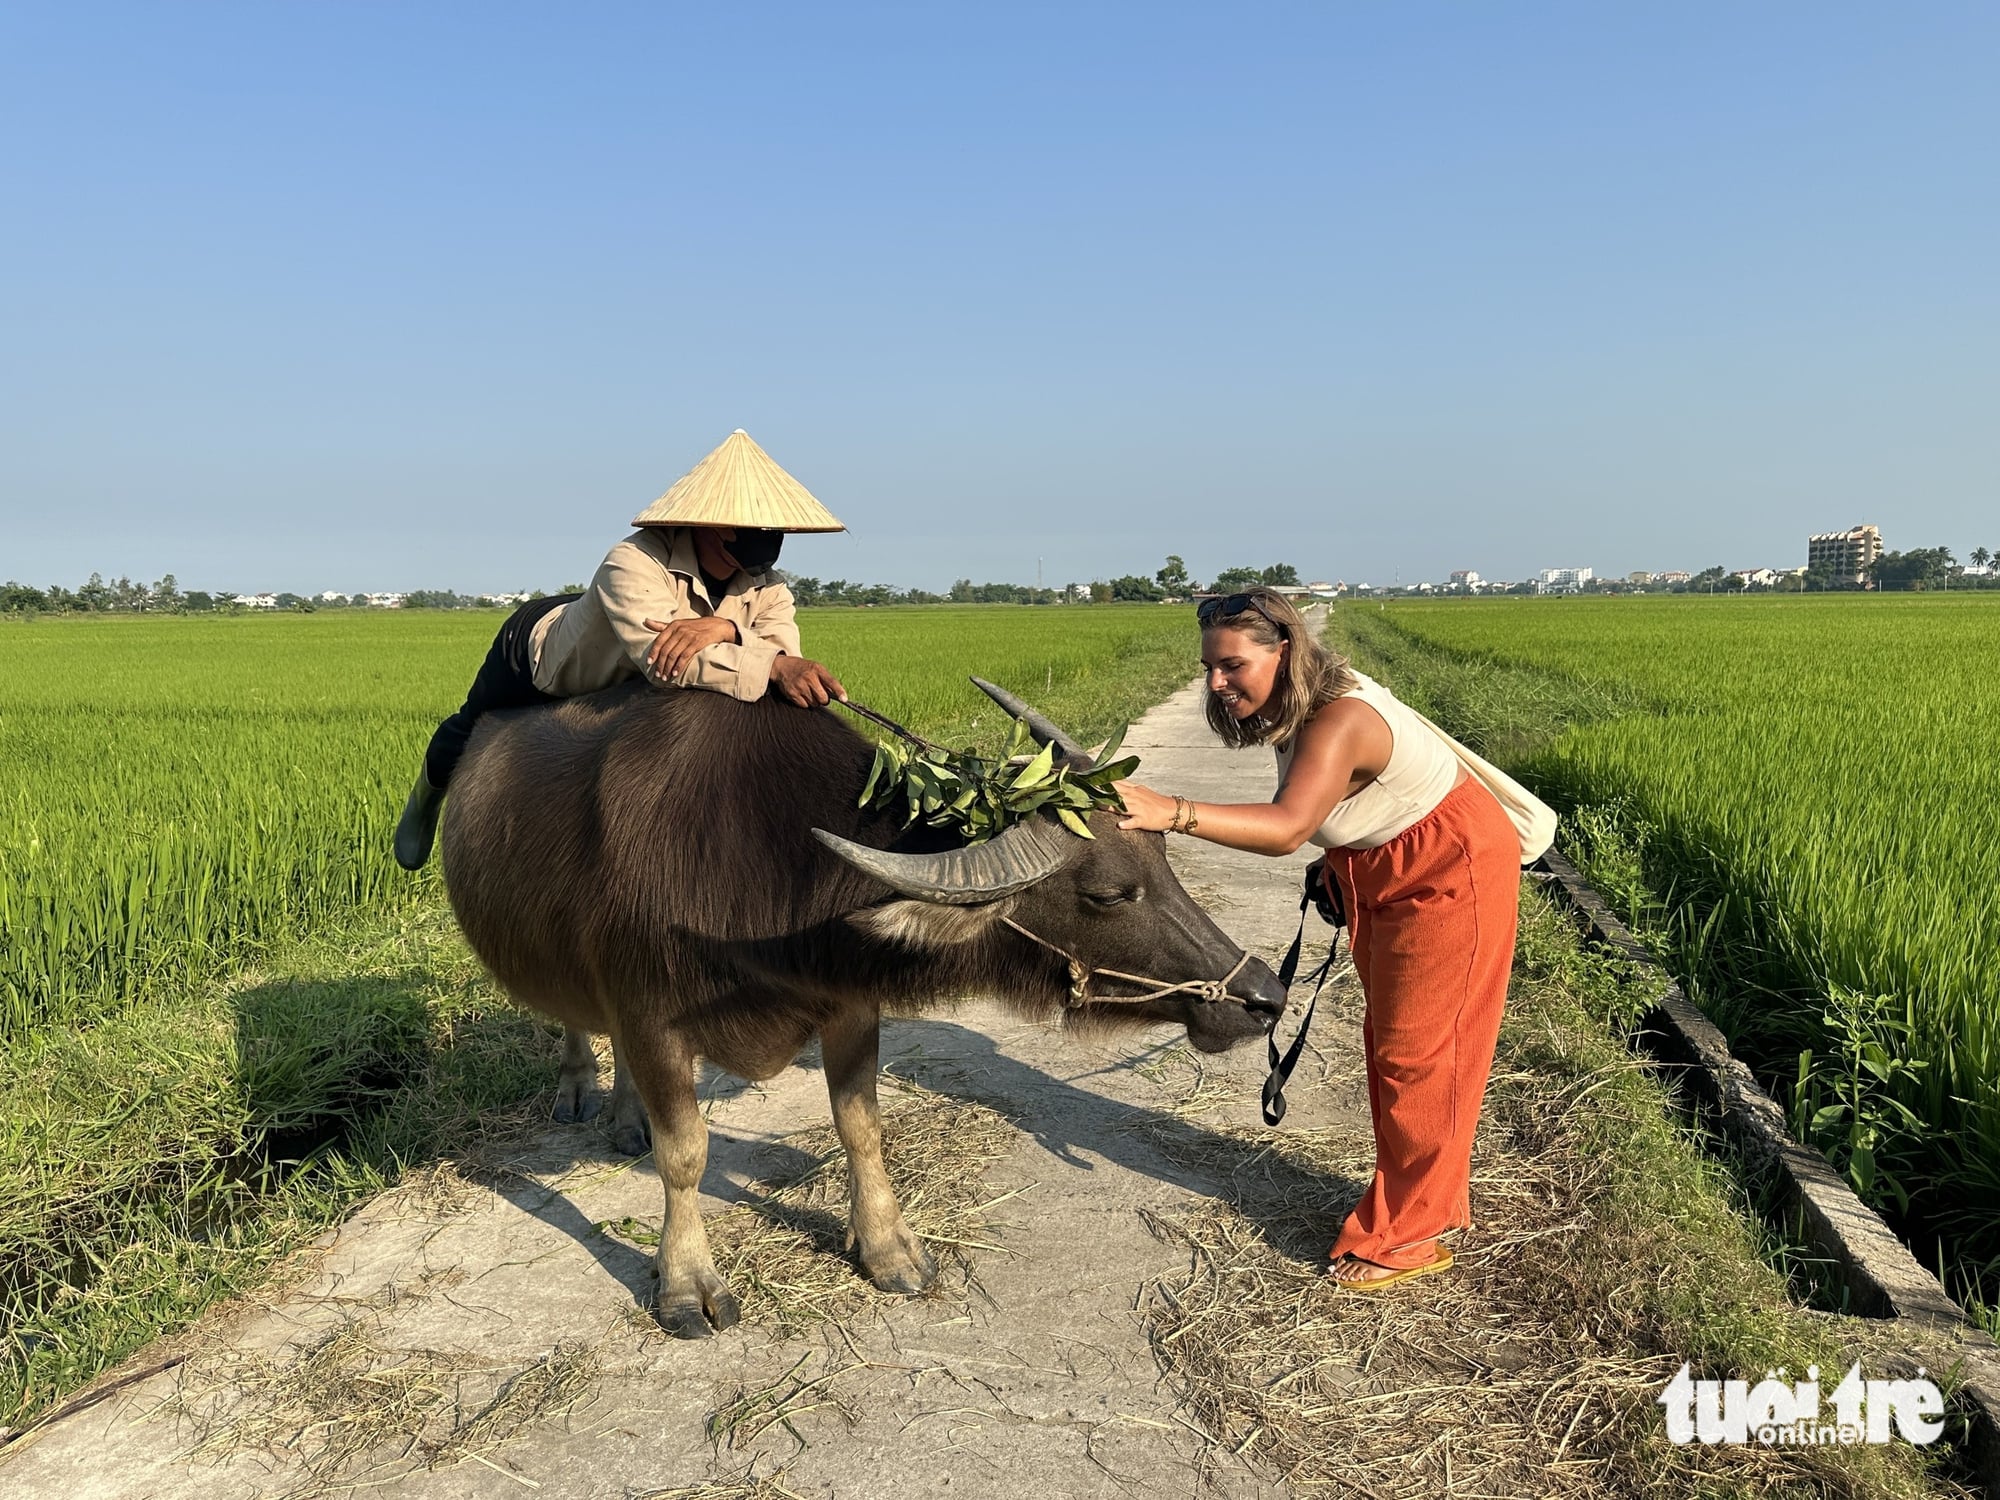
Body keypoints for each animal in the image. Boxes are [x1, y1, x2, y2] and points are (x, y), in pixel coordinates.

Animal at [439, 677, 1285, 1337]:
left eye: (1164, 853)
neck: (755, 865)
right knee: (574, 1018)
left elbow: (861, 1127)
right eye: (1108, 893)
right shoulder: (651, 1018)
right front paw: (686, 1285)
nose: (1265, 997)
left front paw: (888, 1249)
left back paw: (625, 1118)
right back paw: (582, 1092)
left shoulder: (848, 1005)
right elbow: (686, 1156)